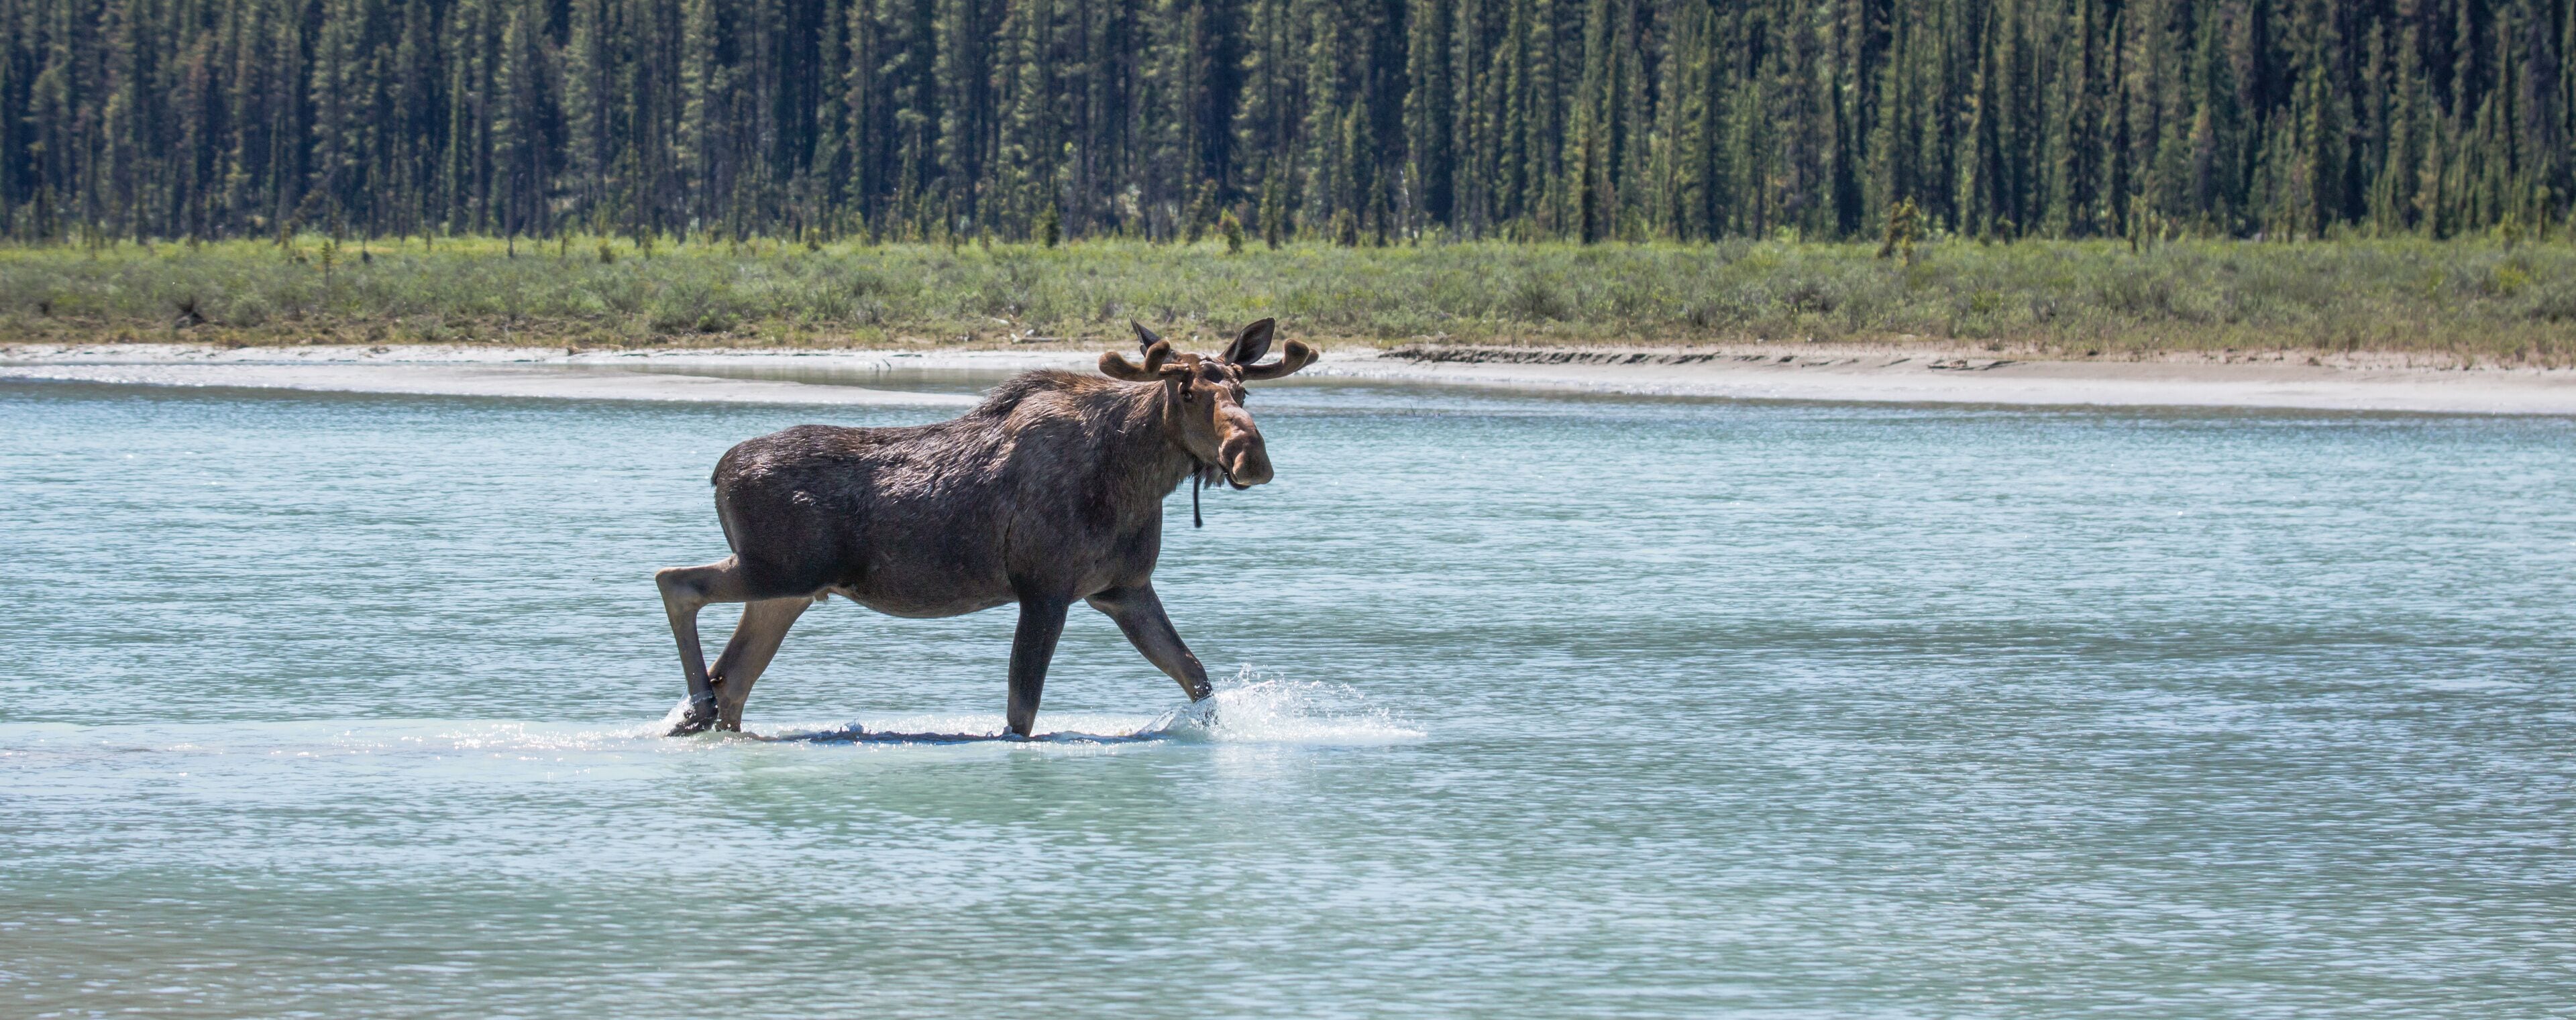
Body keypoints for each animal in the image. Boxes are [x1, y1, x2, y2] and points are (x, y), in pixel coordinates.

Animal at [653, 318, 1317, 737]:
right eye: (1185, 390)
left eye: (1242, 389)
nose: (1250, 456)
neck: (1135, 478)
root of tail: (717, 472)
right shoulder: (1044, 588)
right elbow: (1021, 713)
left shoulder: (1123, 590)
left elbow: (1198, 678)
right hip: (778, 568)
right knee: (675, 582)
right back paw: (695, 705)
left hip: (787, 592)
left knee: (735, 677)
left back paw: (704, 713)